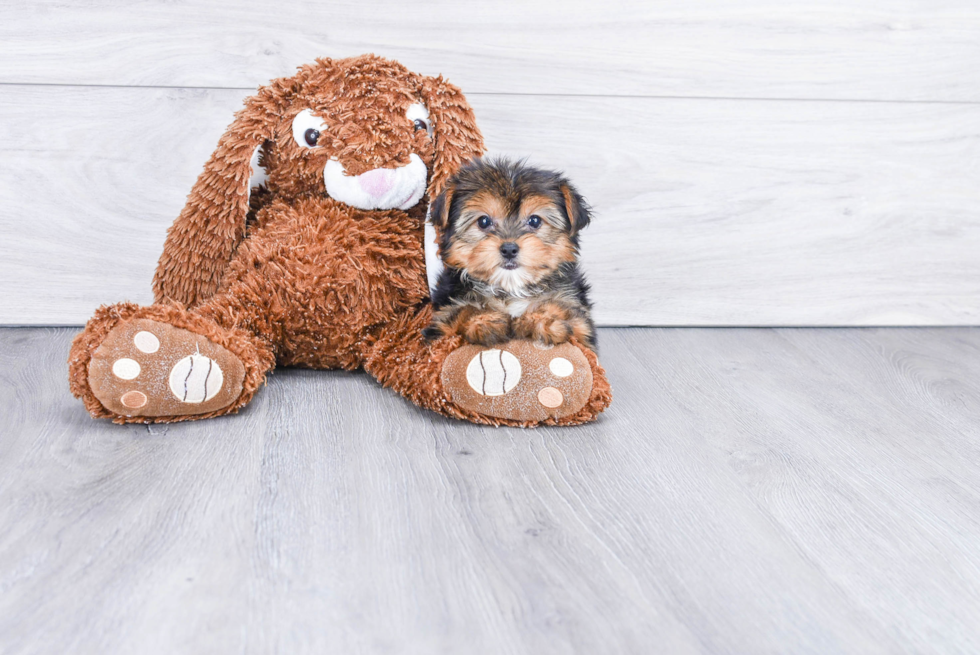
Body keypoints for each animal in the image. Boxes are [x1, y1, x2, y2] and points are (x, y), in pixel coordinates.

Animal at [424, 159, 596, 352]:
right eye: (484, 221)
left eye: (535, 221)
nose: (509, 249)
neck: (510, 289)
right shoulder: (442, 318)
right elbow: (462, 311)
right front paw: (484, 320)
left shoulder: (580, 320)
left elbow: (563, 310)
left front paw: (543, 320)